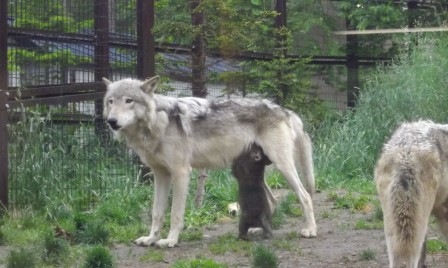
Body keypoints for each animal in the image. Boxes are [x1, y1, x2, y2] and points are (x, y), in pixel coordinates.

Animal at [103, 75, 316, 247]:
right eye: (111, 102)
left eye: (129, 101)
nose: (111, 122)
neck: (158, 122)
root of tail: (285, 110)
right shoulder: (160, 175)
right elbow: (157, 213)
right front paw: (151, 239)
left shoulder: (181, 173)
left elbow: (175, 214)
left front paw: (170, 240)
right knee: (273, 200)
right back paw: (259, 230)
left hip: (283, 166)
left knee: (305, 195)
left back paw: (311, 230)